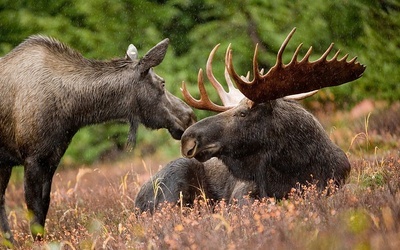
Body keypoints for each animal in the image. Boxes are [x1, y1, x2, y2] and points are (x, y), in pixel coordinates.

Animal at [0, 35, 197, 242]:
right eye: (162, 83)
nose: (189, 116)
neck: (73, 111)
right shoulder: (32, 159)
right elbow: (35, 213)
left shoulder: (51, 158)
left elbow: (44, 206)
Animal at [134, 28, 366, 214]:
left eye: (243, 113)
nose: (187, 139)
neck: (296, 166)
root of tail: (136, 201)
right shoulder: (243, 193)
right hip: (175, 179)